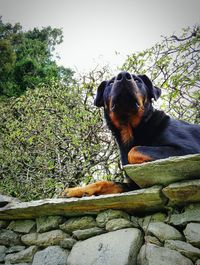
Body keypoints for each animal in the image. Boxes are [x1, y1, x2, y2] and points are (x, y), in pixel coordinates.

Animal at [61, 71, 200, 197]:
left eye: (138, 80)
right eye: (110, 83)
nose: (123, 75)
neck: (130, 130)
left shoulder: (188, 149)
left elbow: (134, 150)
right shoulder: (132, 185)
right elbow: (106, 183)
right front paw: (77, 190)